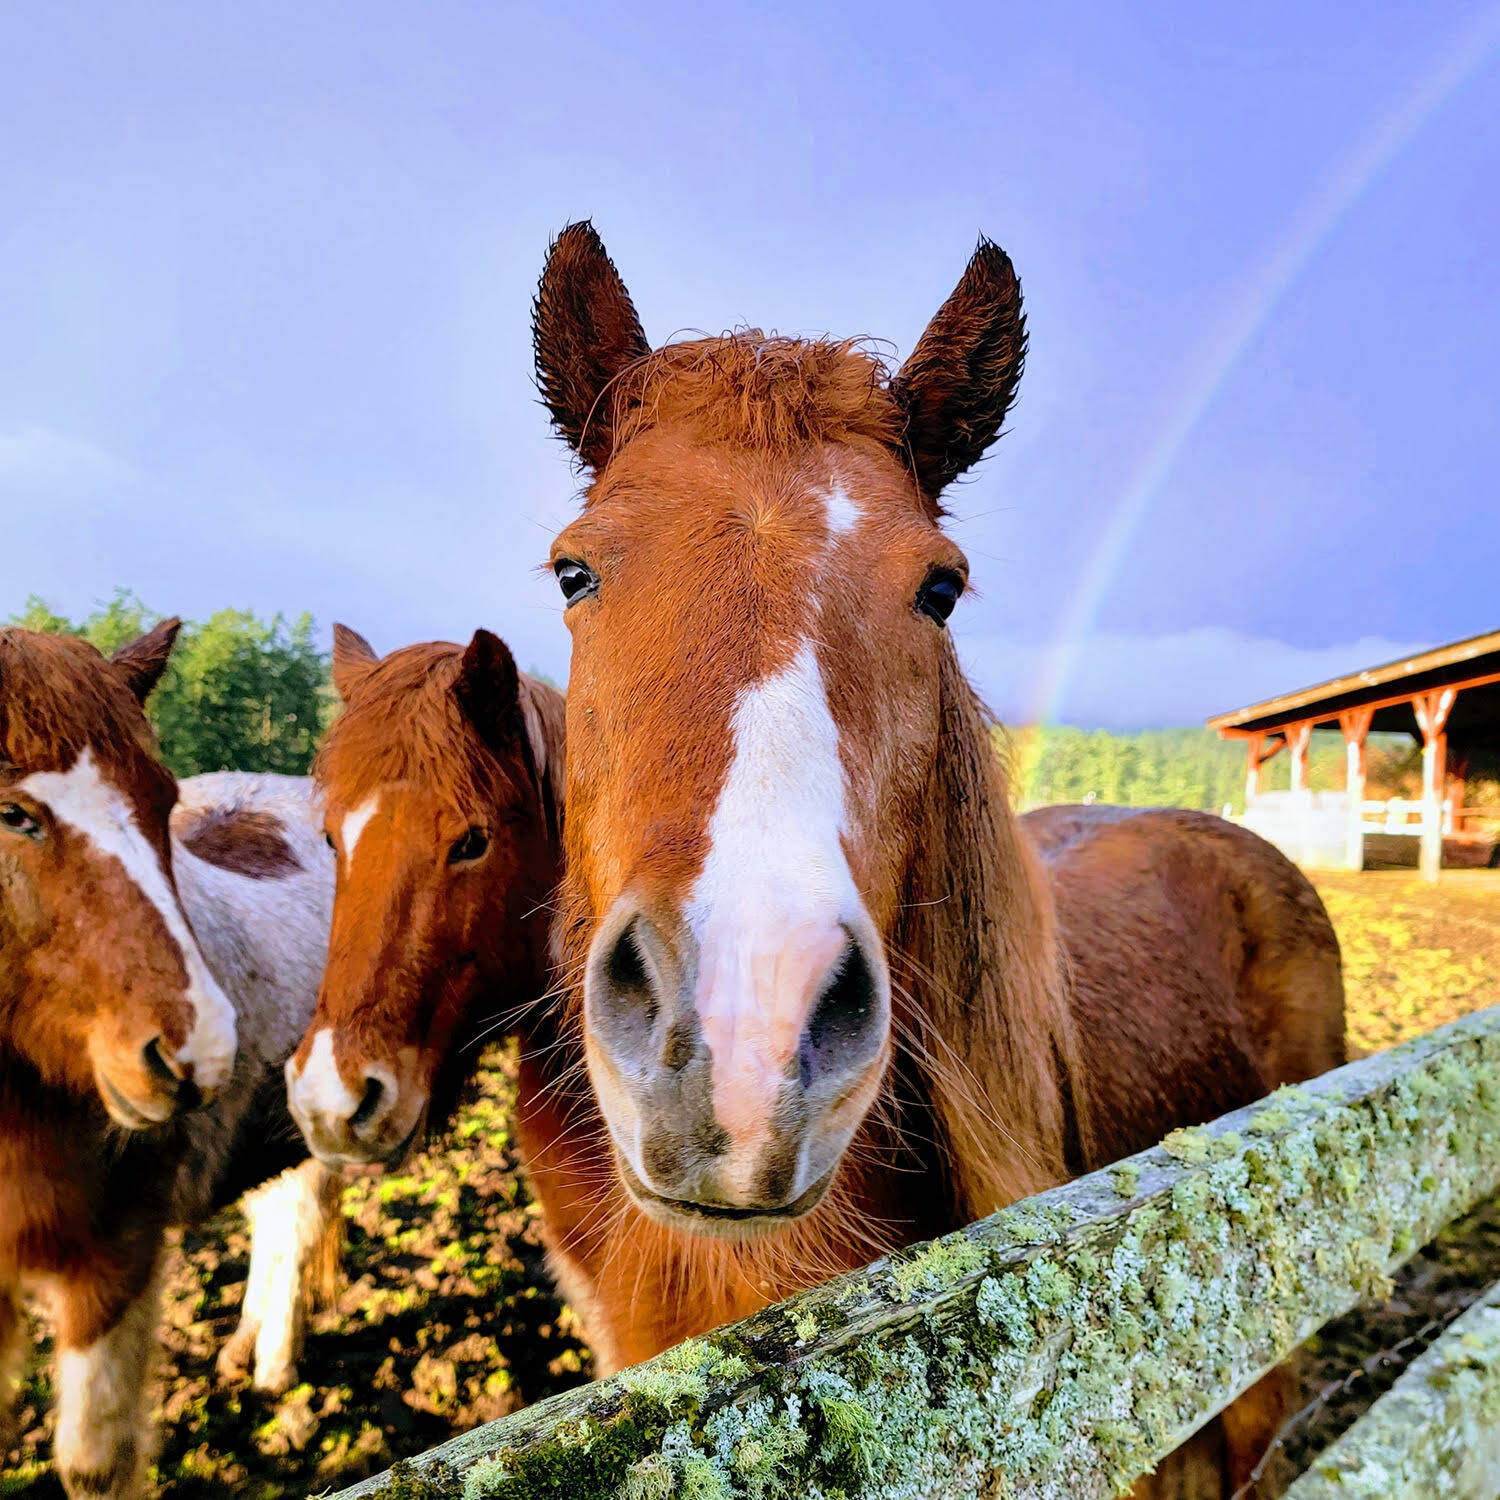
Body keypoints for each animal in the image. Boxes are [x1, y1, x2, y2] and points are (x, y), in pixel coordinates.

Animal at [0, 623, 339, 1500]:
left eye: (163, 803)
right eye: (12, 813)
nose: (201, 1049)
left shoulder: (116, 1268)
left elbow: (95, 1464)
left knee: (296, 1226)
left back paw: (274, 1367)